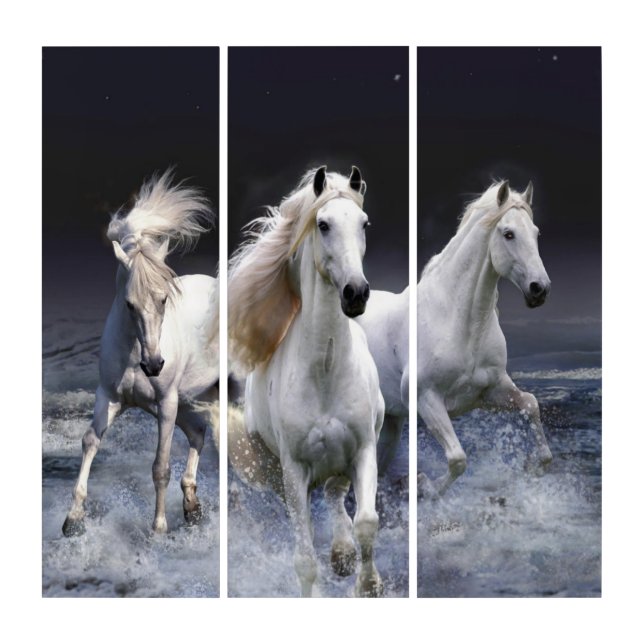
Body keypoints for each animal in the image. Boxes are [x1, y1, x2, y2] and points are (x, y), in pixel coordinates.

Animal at [62, 170, 218, 537]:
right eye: (129, 303)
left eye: (163, 299)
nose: (154, 364)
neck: (134, 352)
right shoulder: (110, 397)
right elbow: (89, 441)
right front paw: (73, 519)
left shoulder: (166, 404)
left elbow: (160, 466)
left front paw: (158, 529)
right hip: (190, 401)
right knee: (199, 433)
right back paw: (192, 507)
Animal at [227, 166, 385, 597]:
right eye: (323, 224)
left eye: (364, 223)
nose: (356, 293)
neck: (326, 372)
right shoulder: (293, 470)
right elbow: (305, 559)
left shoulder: (364, 449)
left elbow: (367, 523)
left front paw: (369, 584)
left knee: (335, 495)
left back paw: (343, 554)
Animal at [358, 180, 552, 496]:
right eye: (508, 234)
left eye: (535, 233)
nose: (540, 289)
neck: (459, 322)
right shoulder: (427, 399)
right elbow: (458, 459)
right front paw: (424, 486)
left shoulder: (490, 392)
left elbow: (531, 404)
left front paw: (534, 467)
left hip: (391, 422)